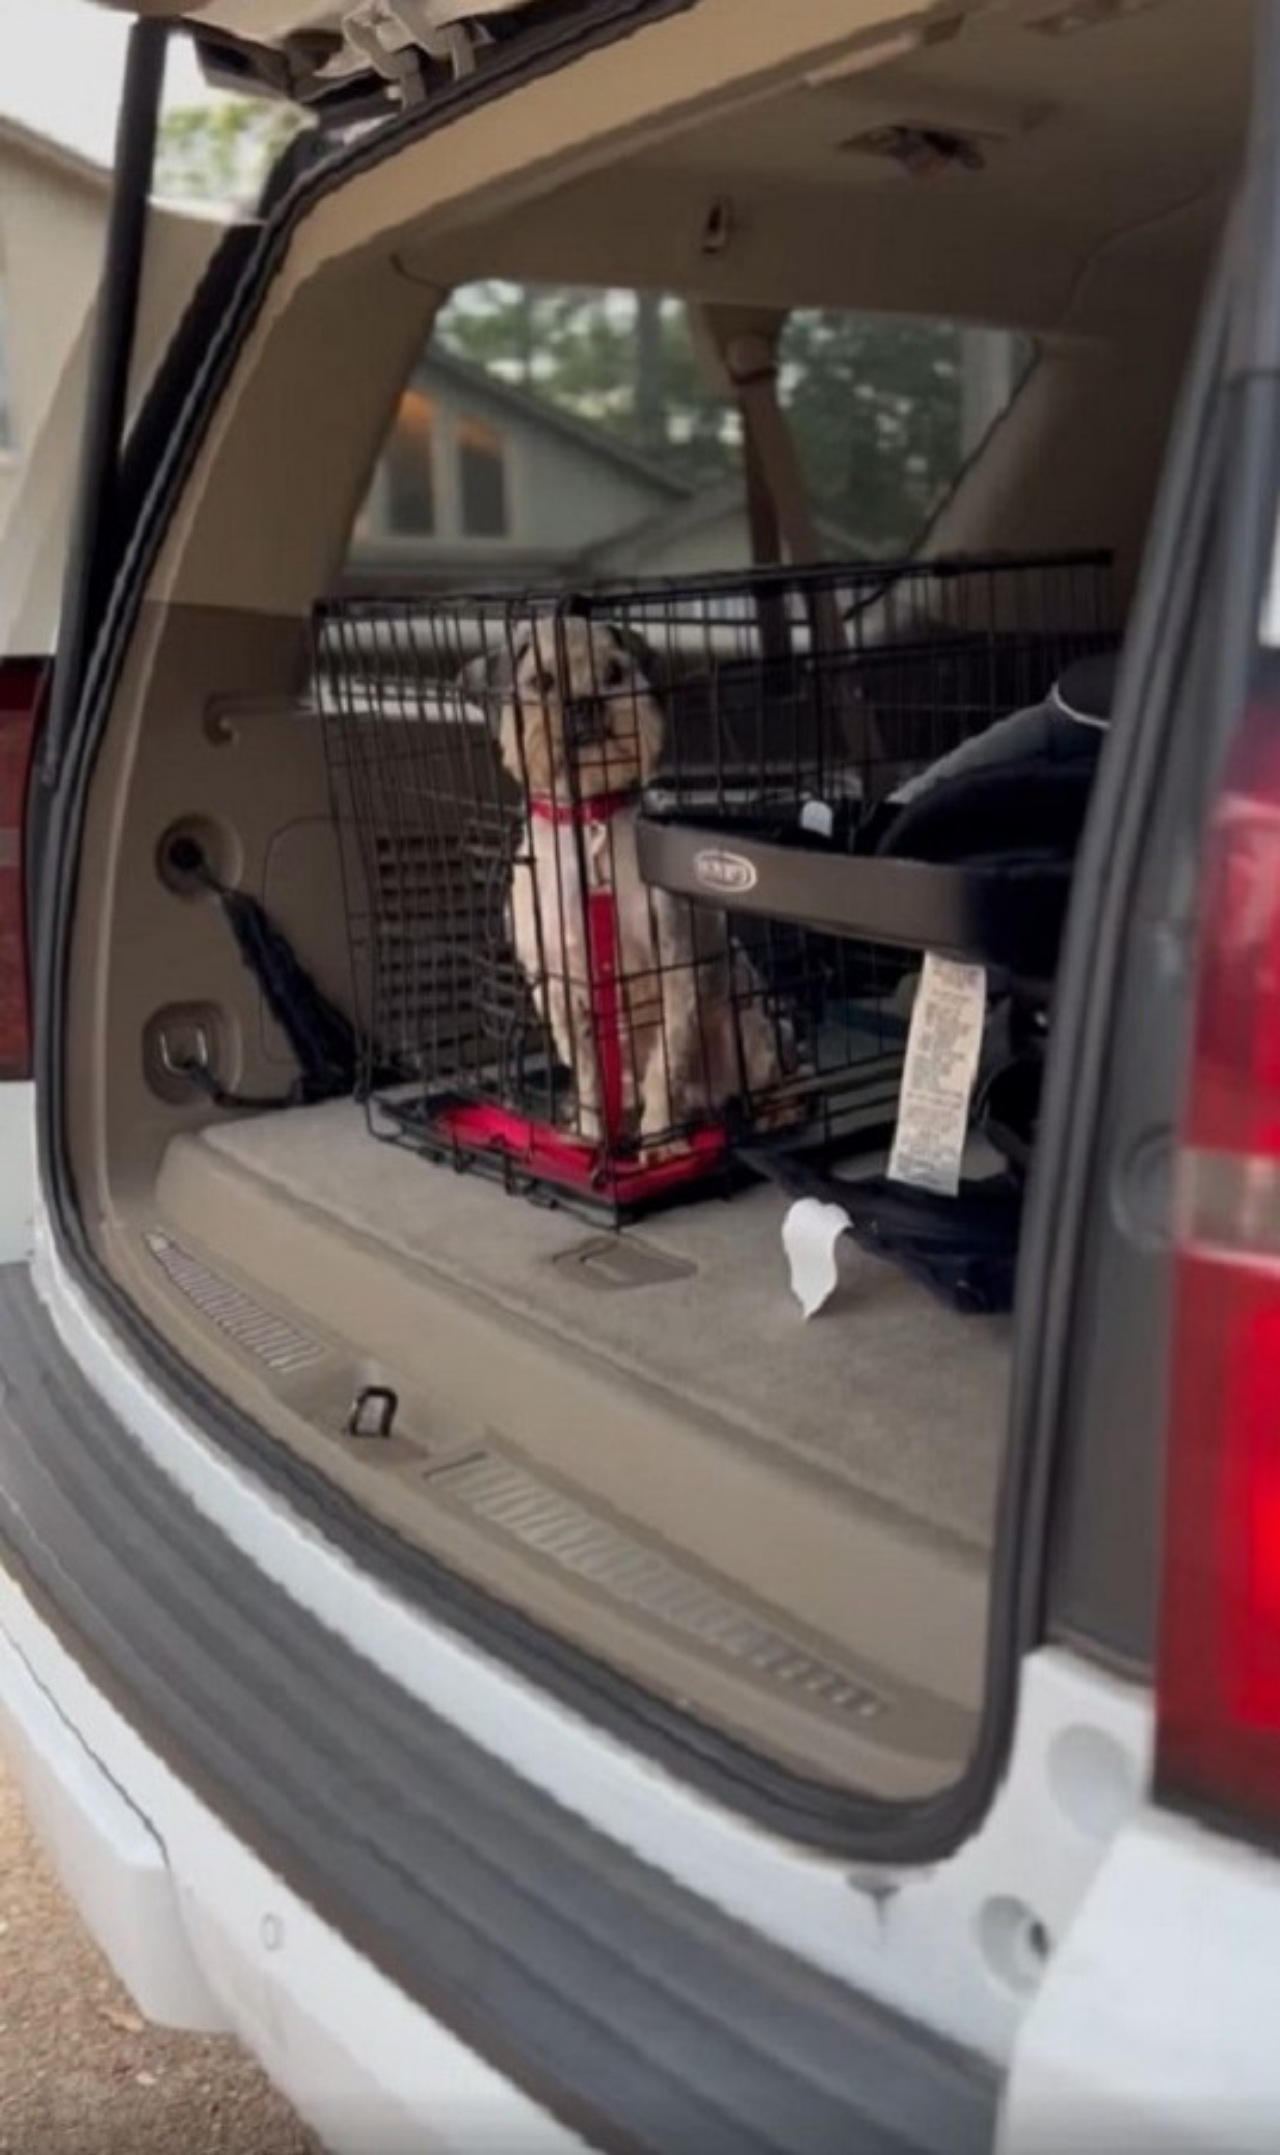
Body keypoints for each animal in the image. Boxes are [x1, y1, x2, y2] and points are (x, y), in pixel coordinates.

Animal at [493, 616, 792, 1155]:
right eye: (542, 681)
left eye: (614, 672)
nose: (585, 703)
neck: (587, 819)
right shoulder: (560, 987)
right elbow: (589, 1075)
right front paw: (591, 1136)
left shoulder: (674, 968)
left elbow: (666, 1070)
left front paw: (662, 1145)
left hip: (750, 1035)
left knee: (767, 1082)